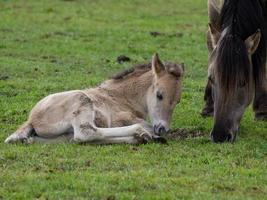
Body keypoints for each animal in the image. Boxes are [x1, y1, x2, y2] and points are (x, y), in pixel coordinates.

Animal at [4, 54, 184, 145]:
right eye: (159, 94)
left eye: (178, 101)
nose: (162, 129)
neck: (121, 96)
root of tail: (31, 119)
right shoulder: (121, 118)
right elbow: (144, 124)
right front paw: (152, 133)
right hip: (81, 99)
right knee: (86, 134)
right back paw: (141, 134)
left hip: (60, 136)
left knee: (77, 139)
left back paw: (141, 138)